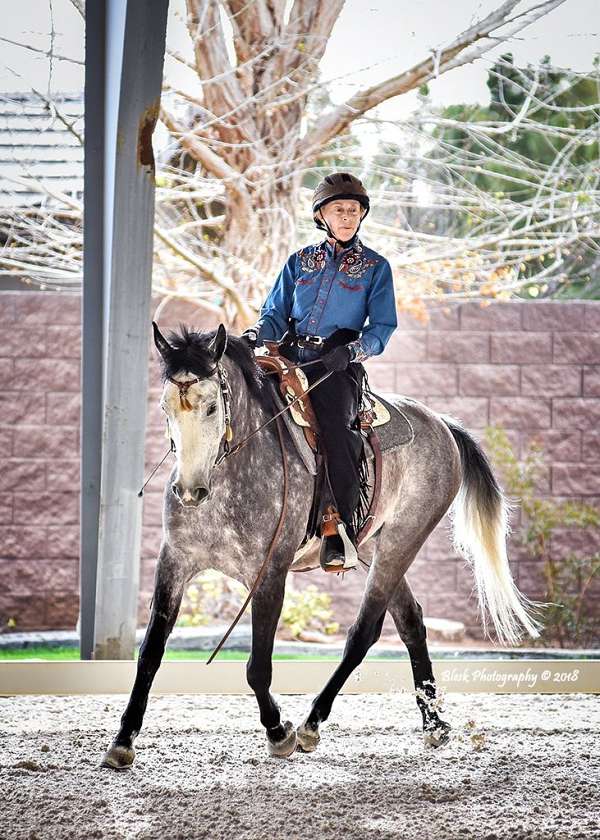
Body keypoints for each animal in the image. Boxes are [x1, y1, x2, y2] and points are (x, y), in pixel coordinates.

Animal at [102, 324, 544, 768]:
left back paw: (312, 723)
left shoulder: (270, 573)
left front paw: (278, 732)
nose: (189, 491)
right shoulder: (174, 562)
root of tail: (442, 424)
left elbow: (257, 667)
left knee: (364, 631)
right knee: (411, 621)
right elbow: (150, 653)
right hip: (373, 547)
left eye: (211, 407)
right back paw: (434, 724)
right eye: (165, 407)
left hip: (402, 541)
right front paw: (123, 739)